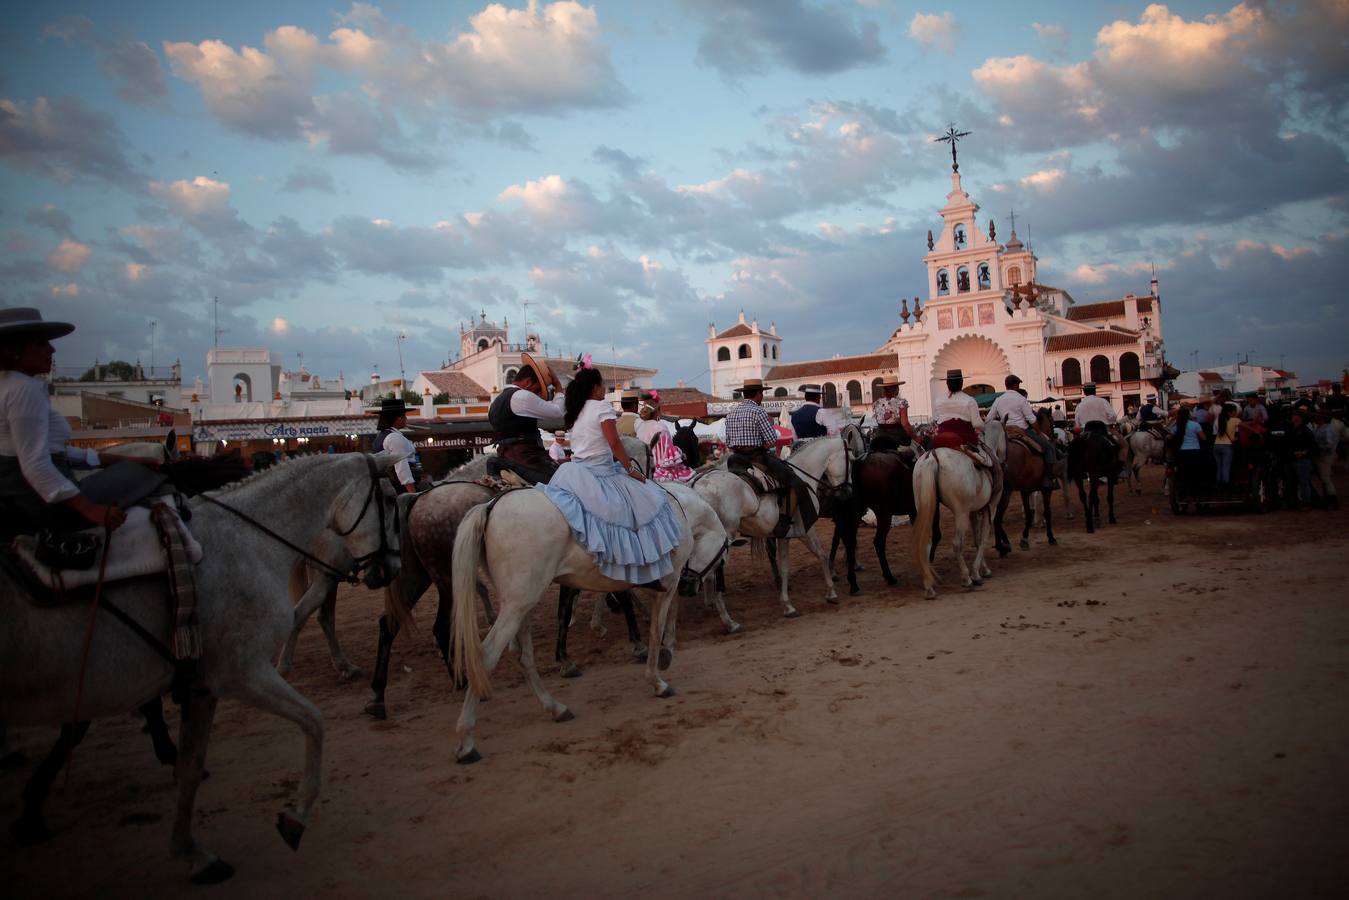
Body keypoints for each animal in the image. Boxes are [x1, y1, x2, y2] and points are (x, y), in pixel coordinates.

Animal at [0, 453, 399, 885]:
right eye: (389, 499)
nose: (391, 567)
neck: (246, 540)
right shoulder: (238, 672)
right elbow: (313, 720)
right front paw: (295, 817)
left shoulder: (200, 686)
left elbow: (190, 767)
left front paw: (192, 850)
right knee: (306, 614)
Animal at [450, 483, 728, 766]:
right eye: (718, 561)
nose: (690, 587)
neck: (678, 509)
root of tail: (491, 505)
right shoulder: (670, 581)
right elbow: (658, 626)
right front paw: (660, 672)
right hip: (517, 605)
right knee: (486, 656)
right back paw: (466, 742)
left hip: (521, 605)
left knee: (523, 656)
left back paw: (556, 708)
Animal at [690, 431, 857, 623]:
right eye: (851, 460)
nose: (848, 493)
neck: (805, 475)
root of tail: (697, 486)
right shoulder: (805, 529)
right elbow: (822, 555)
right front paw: (831, 593)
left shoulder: (783, 535)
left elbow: (785, 568)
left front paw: (788, 605)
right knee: (714, 572)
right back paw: (728, 620)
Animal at [911, 420, 1009, 599]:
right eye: (1006, 436)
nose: (1005, 462)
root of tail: (933, 456)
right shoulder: (990, 508)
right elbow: (983, 539)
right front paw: (978, 573)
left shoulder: (973, 512)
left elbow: (977, 539)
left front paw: (983, 568)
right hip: (960, 512)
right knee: (957, 544)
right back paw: (966, 579)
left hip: (926, 508)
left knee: (925, 543)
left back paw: (929, 586)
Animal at [998, 410, 1057, 555]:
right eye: (1052, 420)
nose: (1054, 436)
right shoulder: (1046, 489)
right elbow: (1047, 511)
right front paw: (1051, 537)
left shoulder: (1025, 490)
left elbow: (1029, 514)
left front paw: (1024, 539)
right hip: (1005, 491)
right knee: (997, 516)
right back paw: (1003, 546)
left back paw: (1004, 543)